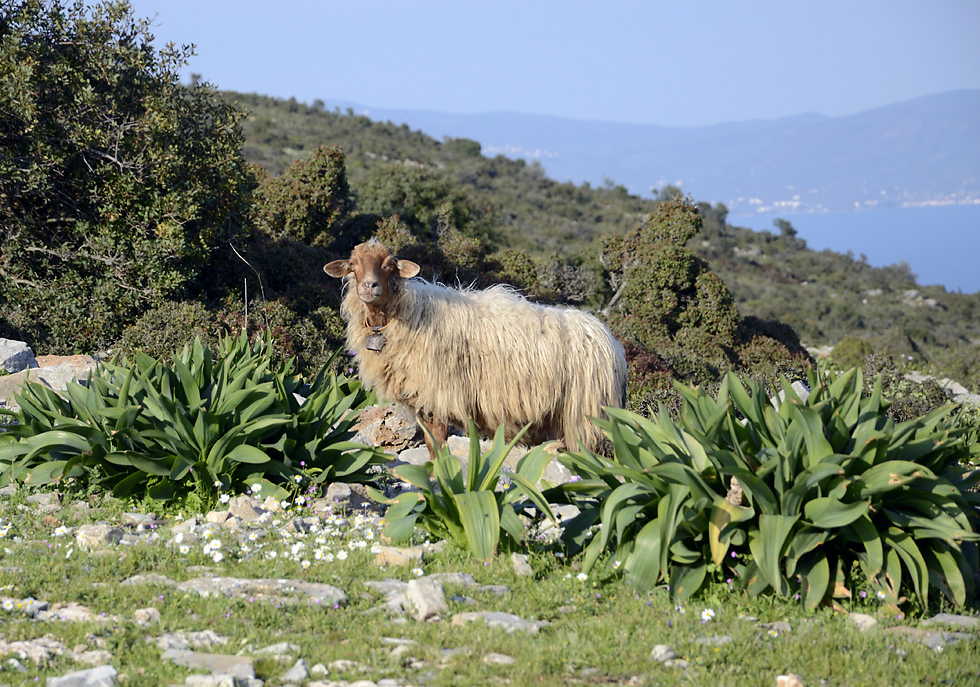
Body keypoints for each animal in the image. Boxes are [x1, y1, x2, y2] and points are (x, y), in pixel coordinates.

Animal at [324, 239, 628, 460]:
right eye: (353, 264)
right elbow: (431, 447)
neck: (406, 315)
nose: (369, 286)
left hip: (581, 416)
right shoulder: (423, 401)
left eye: (389, 265)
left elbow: (439, 448)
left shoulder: (440, 396)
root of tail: (607, 338)